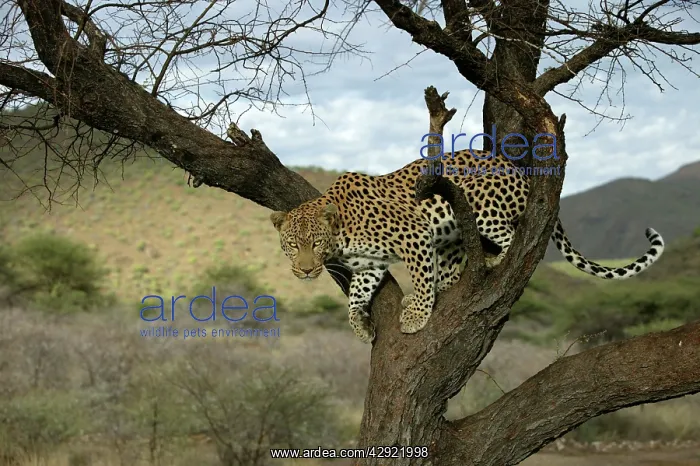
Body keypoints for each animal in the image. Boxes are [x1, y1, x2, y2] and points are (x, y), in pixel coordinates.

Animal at [270, 149, 665, 344]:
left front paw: (416, 317)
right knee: (452, 264)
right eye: (291, 245)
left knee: (514, 239)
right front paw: (361, 326)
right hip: (453, 234)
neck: (342, 233)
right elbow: (356, 296)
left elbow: (421, 276)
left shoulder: (414, 233)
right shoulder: (370, 264)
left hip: (481, 210)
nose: (305, 269)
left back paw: (491, 264)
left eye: (314, 242)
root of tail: (518, 171)